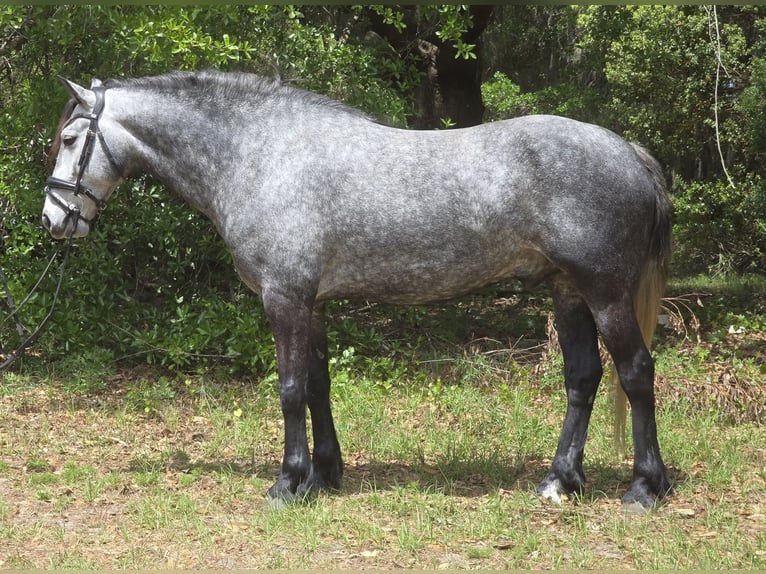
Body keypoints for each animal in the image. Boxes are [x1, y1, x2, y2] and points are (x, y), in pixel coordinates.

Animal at [42, 70, 672, 511]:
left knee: (636, 372)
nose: (53, 220)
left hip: (605, 294)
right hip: (568, 293)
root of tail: (628, 151)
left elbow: (290, 389)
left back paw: (645, 488)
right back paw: (560, 482)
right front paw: (323, 475)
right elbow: (318, 386)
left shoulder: (284, 299)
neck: (261, 155)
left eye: (71, 138)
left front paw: (287, 483)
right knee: (583, 378)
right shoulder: (313, 304)